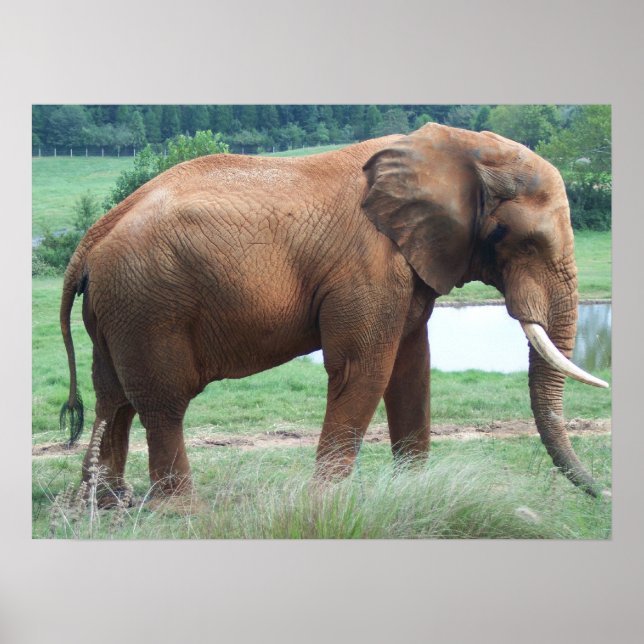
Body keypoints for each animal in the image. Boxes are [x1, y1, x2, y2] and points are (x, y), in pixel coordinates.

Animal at [59, 122, 608, 502]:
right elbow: (362, 369)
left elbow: (412, 368)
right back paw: (178, 511)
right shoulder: (368, 266)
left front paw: (414, 493)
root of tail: (92, 238)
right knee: (162, 403)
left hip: (120, 308)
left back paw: (106, 504)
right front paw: (328, 504)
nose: (603, 493)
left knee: (113, 399)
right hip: (150, 304)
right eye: (519, 240)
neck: (457, 148)